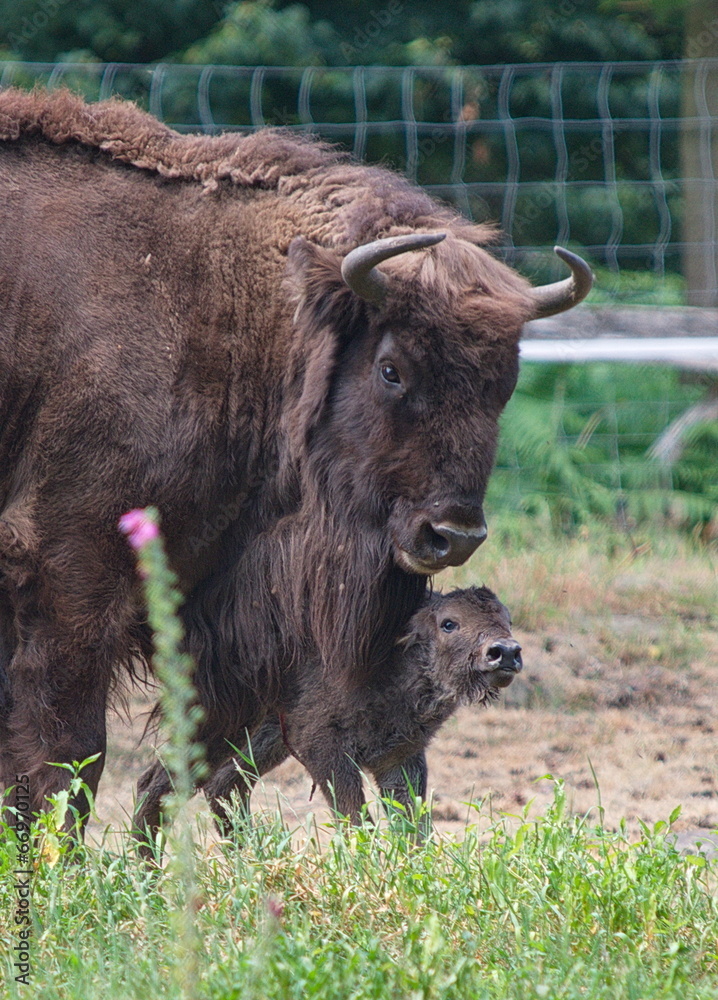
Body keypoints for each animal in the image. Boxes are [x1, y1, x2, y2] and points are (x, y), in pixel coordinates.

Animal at [202, 584, 524, 836]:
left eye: (508, 619)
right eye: (448, 623)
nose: (506, 652)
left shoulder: (400, 756)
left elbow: (412, 825)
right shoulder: (324, 748)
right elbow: (356, 820)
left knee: (224, 786)